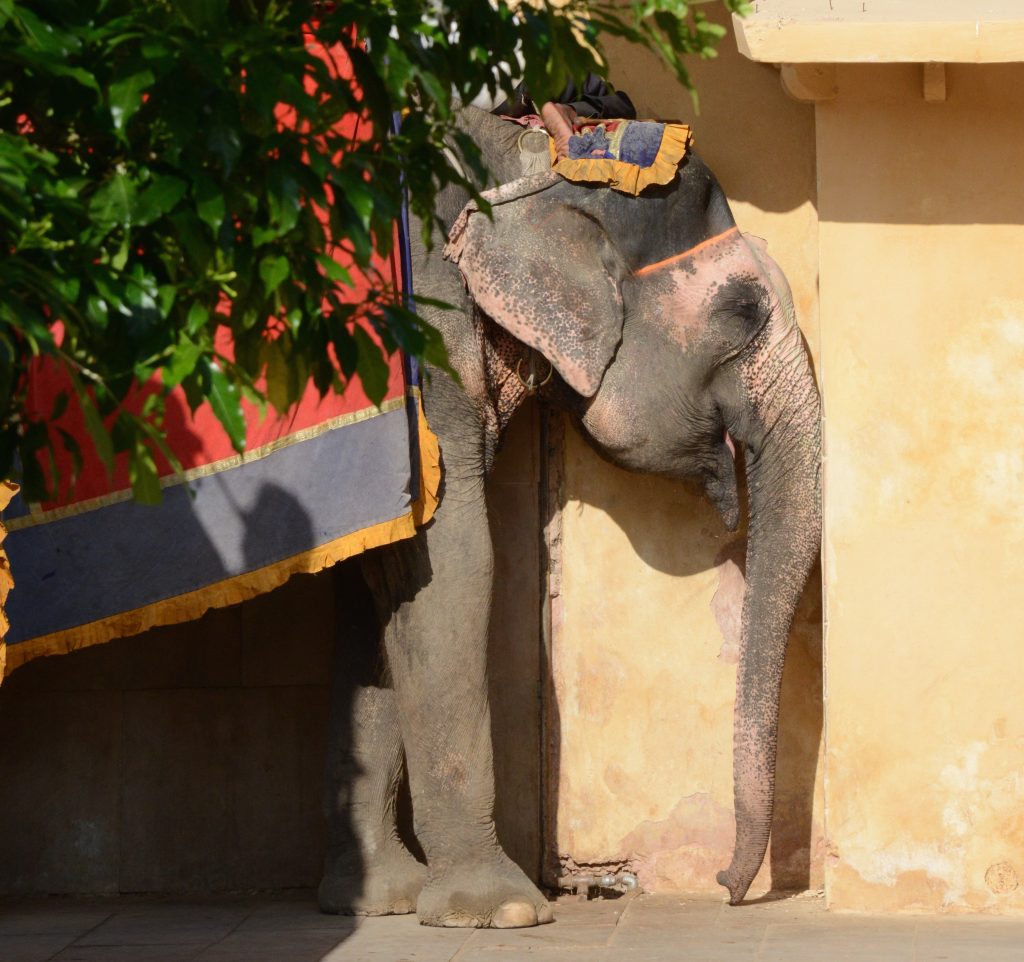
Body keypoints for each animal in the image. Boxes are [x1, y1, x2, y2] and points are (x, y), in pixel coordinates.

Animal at [315, 103, 819, 926]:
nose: (725, 885)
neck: (527, 155)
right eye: (744, 313)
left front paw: (380, 900)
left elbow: (378, 588)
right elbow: (451, 560)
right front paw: (499, 911)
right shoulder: (422, 348)